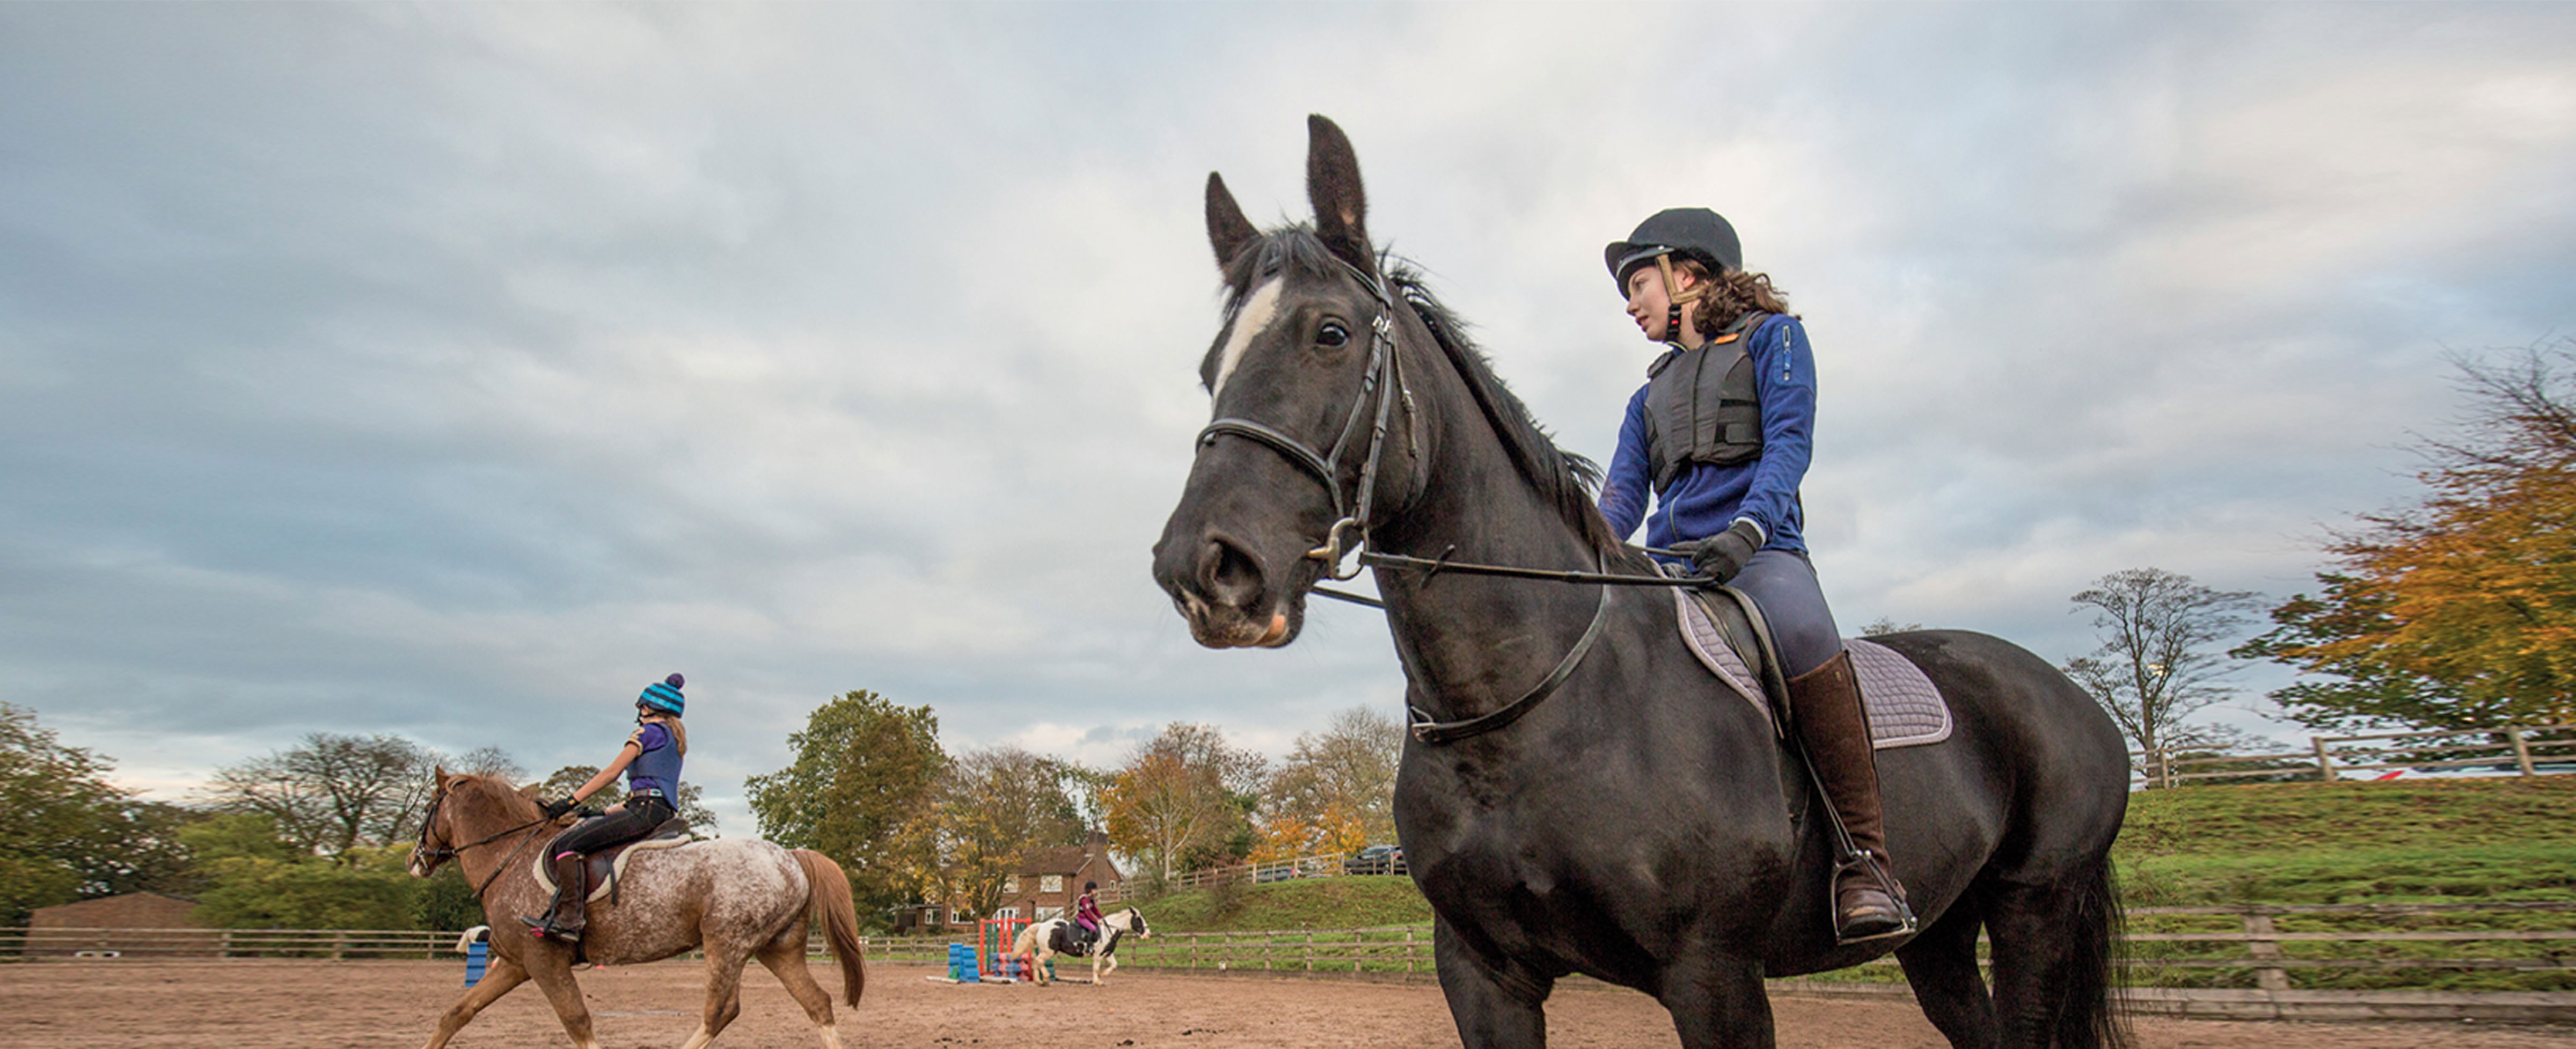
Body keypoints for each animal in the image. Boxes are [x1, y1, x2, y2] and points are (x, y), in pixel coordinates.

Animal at [1159, 117, 2123, 1049]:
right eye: (1208, 367)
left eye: (1330, 333)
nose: (1199, 568)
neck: (1527, 709)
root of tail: (2063, 689)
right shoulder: (1484, 974)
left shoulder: (1715, 976)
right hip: (1941, 935)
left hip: (2035, 907)